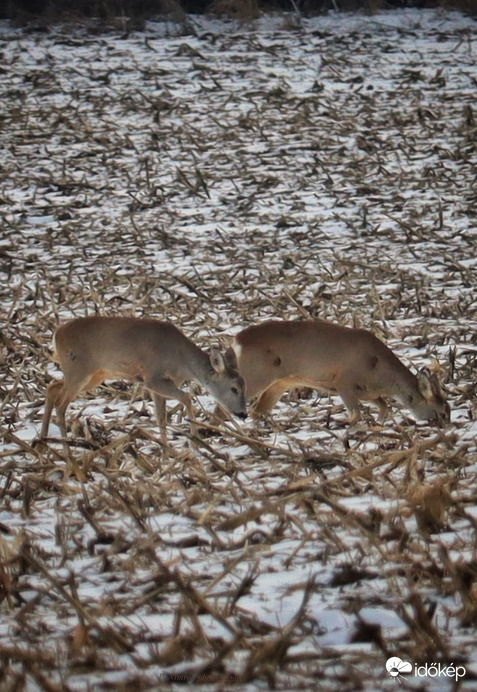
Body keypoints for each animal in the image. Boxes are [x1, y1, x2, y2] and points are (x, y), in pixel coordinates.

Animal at [227, 320, 450, 428]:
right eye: (441, 413)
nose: (446, 426)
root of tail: (237, 340)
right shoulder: (344, 381)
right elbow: (356, 415)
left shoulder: (369, 392)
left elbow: (385, 409)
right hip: (255, 375)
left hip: (279, 383)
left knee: (257, 411)